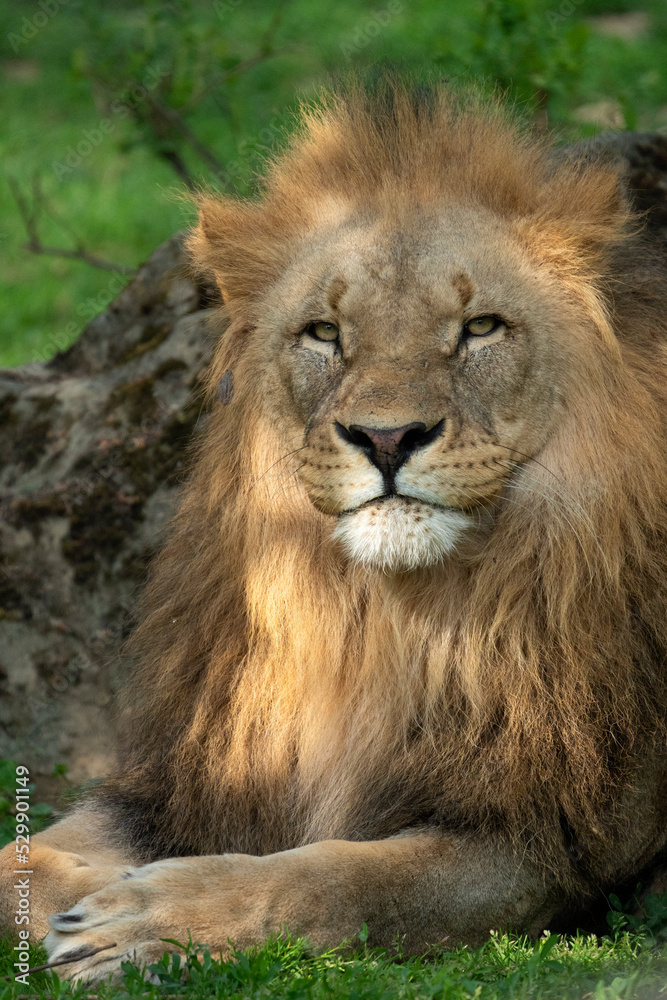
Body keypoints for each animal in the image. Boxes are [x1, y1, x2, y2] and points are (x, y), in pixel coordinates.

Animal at [3, 80, 667, 984]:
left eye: (480, 328)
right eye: (324, 333)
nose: (387, 439)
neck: (371, 618)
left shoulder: (540, 843)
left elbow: (333, 876)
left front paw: (147, 917)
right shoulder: (187, 777)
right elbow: (28, 857)